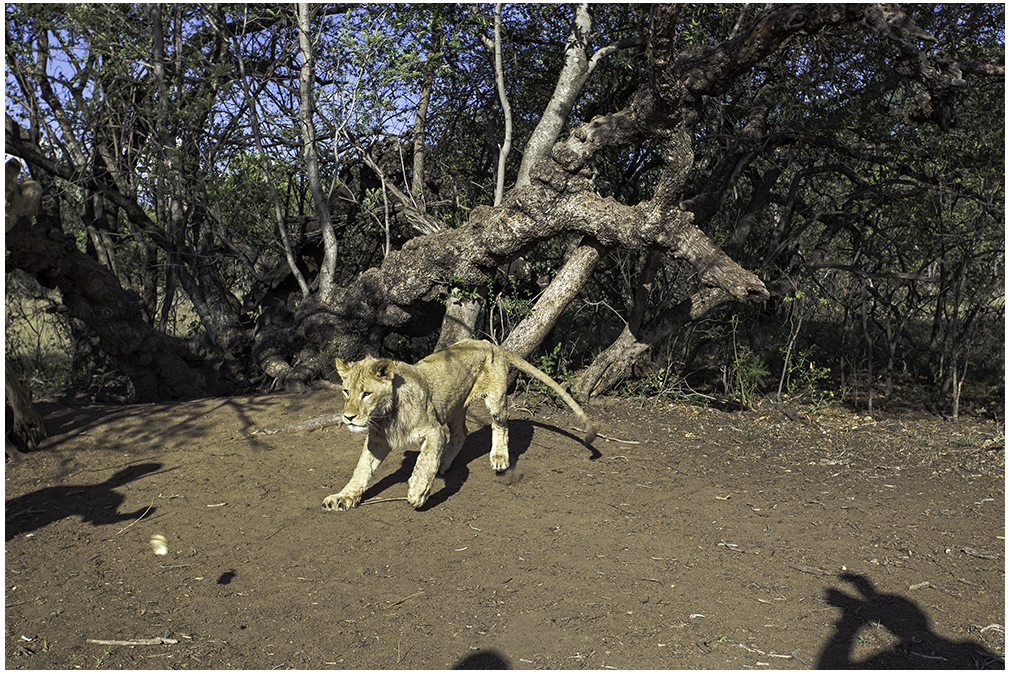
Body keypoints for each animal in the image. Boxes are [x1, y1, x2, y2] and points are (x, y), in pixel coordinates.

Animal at [323, 339, 593, 509]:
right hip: (454, 407)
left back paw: (499, 458)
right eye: (346, 391)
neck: (385, 417)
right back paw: (445, 462)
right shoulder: (377, 441)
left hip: (495, 400)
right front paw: (343, 497)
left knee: (501, 426)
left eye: (366, 394)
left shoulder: (432, 430)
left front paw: (417, 491)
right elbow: (361, 471)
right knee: (461, 433)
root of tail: (490, 343)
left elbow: (424, 462)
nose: (348, 417)